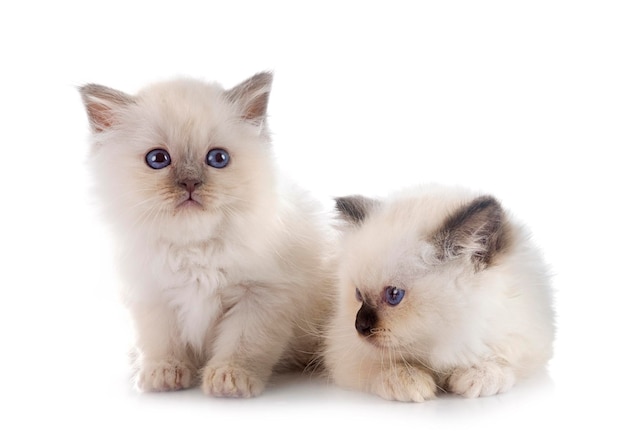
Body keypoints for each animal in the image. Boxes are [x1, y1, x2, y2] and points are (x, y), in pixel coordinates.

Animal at [80, 72, 334, 398]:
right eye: (158, 159)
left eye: (218, 158)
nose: (190, 183)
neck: (194, 248)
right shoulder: (153, 298)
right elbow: (162, 344)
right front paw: (163, 374)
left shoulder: (260, 296)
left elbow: (242, 344)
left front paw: (229, 379)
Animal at [324, 184, 552, 400]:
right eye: (358, 295)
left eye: (394, 295)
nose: (360, 326)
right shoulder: (346, 351)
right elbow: (381, 365)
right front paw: (406, 379)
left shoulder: (523, 341)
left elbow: (499, 360)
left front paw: (479, 375)